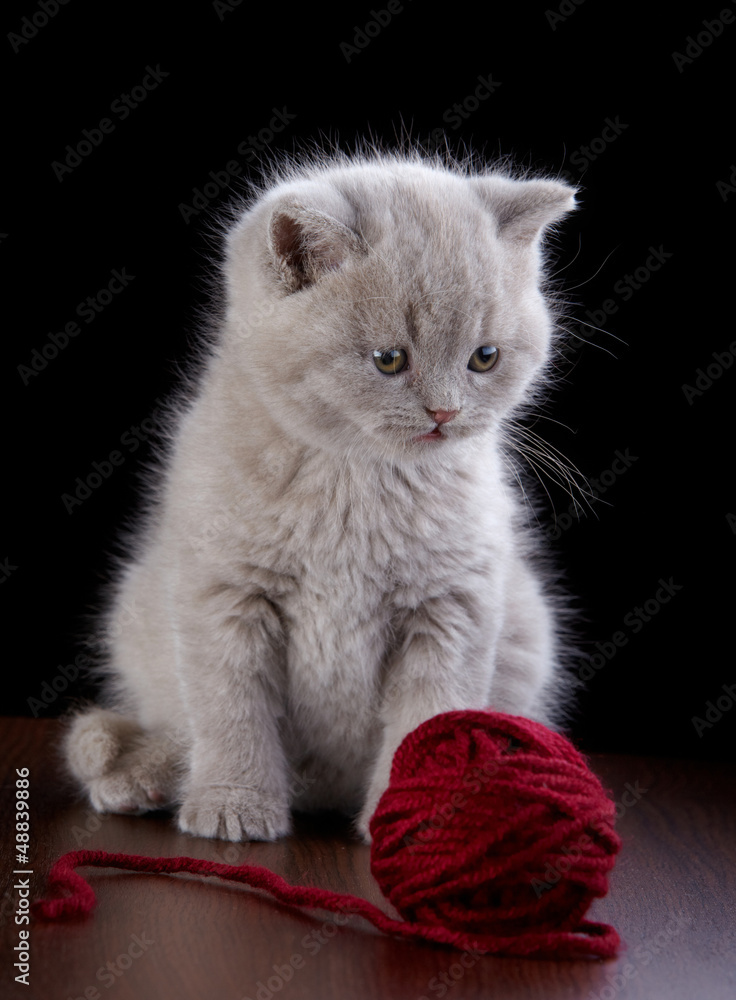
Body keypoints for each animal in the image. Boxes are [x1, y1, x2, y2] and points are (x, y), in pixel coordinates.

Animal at [63, 145, 580, 840]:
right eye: (389, 360)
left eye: (485, 357)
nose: (444, 413)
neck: (355, 482)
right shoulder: (223, 594)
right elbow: (230, 710)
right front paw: (233, 803)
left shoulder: (453, 607)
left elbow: (431, 719)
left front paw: (417, 819)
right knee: (174, 728)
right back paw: (136, 779)